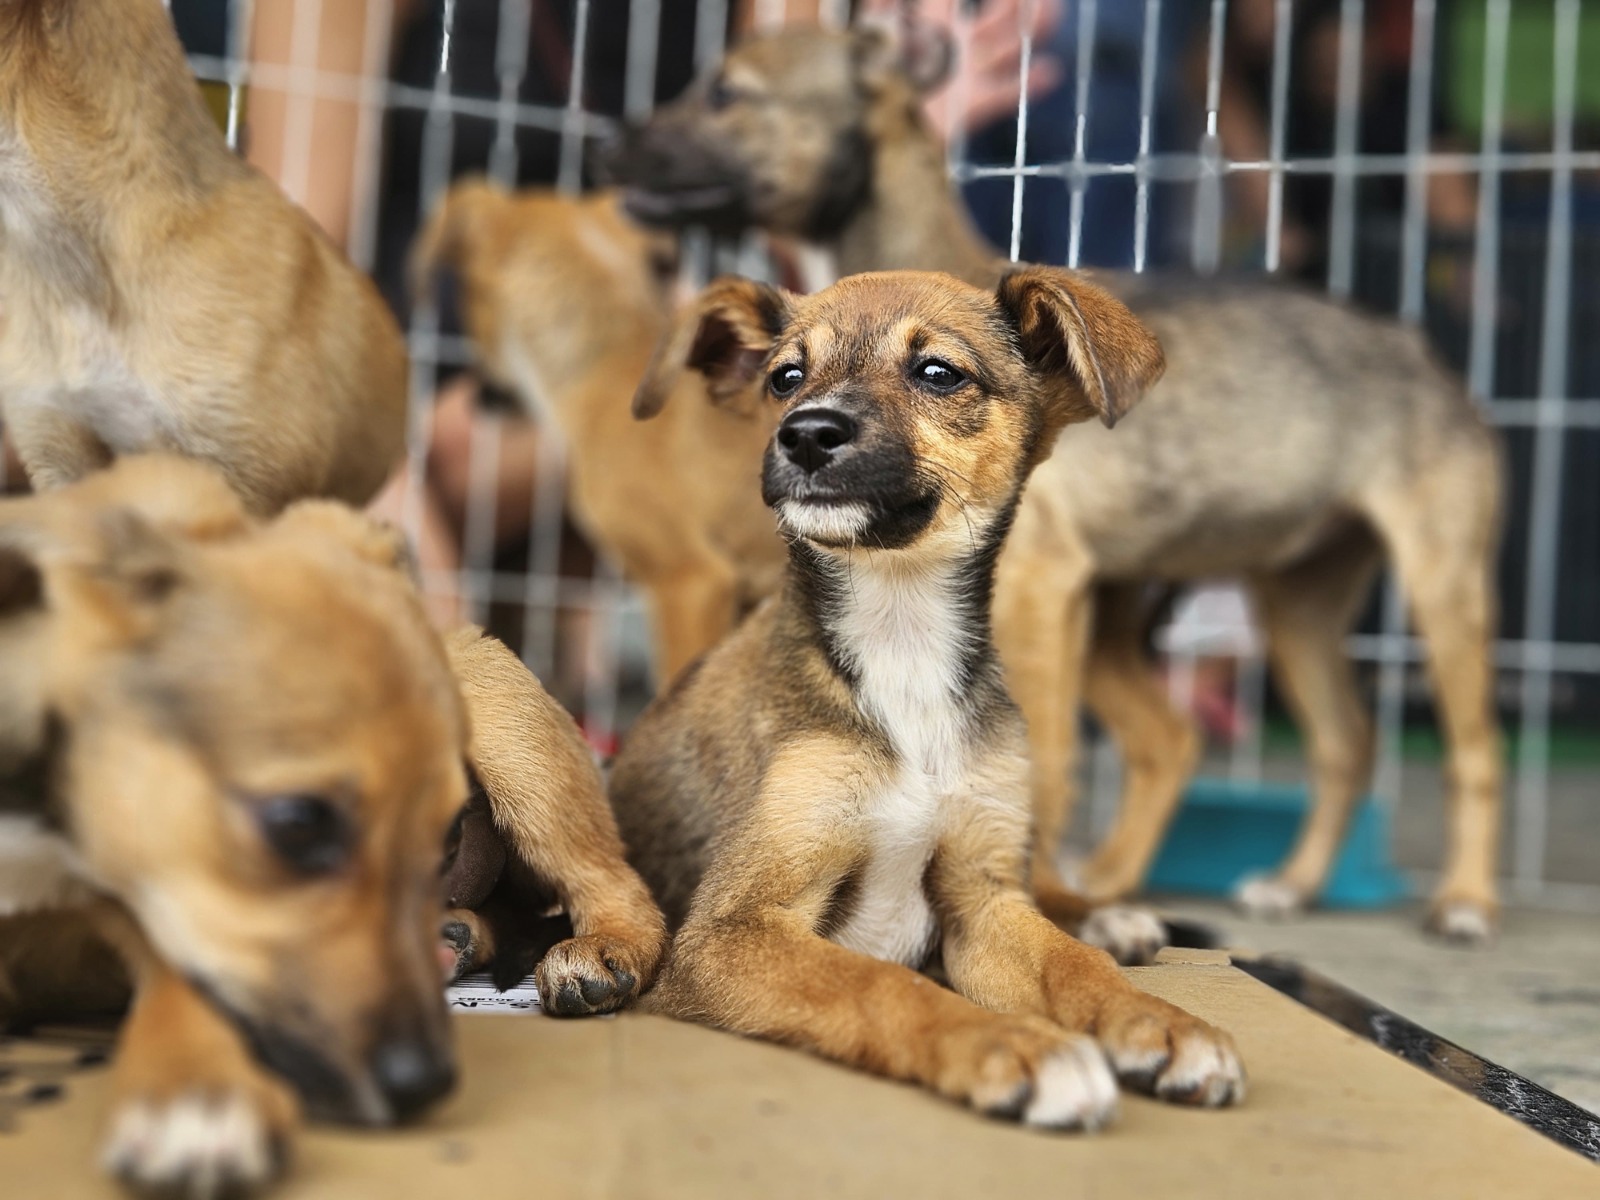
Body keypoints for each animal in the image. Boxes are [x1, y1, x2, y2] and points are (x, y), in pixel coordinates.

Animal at [0, 454, 665, 1196]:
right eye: (297, 826)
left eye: (450, 838)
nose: (425, 1083)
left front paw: (199, 1090)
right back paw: (456, 937)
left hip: (517, 743)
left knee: (614, 881)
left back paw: (601, 950)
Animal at [604, 23, 1504, 947]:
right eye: (783, 378)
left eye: (726, 91)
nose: (614, 139)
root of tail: (1420, 347)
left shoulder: (1039, 587)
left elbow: (1053, 769)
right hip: (1286, 606)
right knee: (1308, 742)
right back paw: (1271, 882)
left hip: (1440, 581)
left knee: (1475, 747)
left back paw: (1465, 900)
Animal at [604, 267, 1241, 1132]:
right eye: (785, 377)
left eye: (938, 373)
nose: (806, 434)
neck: (900, 642)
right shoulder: (732, 927)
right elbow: (881, 983)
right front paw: (1015, 1048)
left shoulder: (981, 900)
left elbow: (1075, 966)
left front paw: (1164, 1025)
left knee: (1055, 901)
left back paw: (1111, 917)